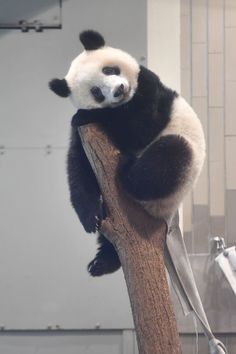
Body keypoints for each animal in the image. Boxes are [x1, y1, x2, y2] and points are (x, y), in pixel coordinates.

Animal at [48, 29, 206, 276]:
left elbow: (142, 128)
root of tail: (166, 217)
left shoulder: (149, 87)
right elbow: (78, 167)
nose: (118, 90)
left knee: (169, 156)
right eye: (96, 92)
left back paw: (126, 170)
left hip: (180, 174)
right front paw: (90, 216)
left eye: (109, 70)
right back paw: (103, 262)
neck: (125, 102)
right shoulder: (82, 136)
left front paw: (88, 115)